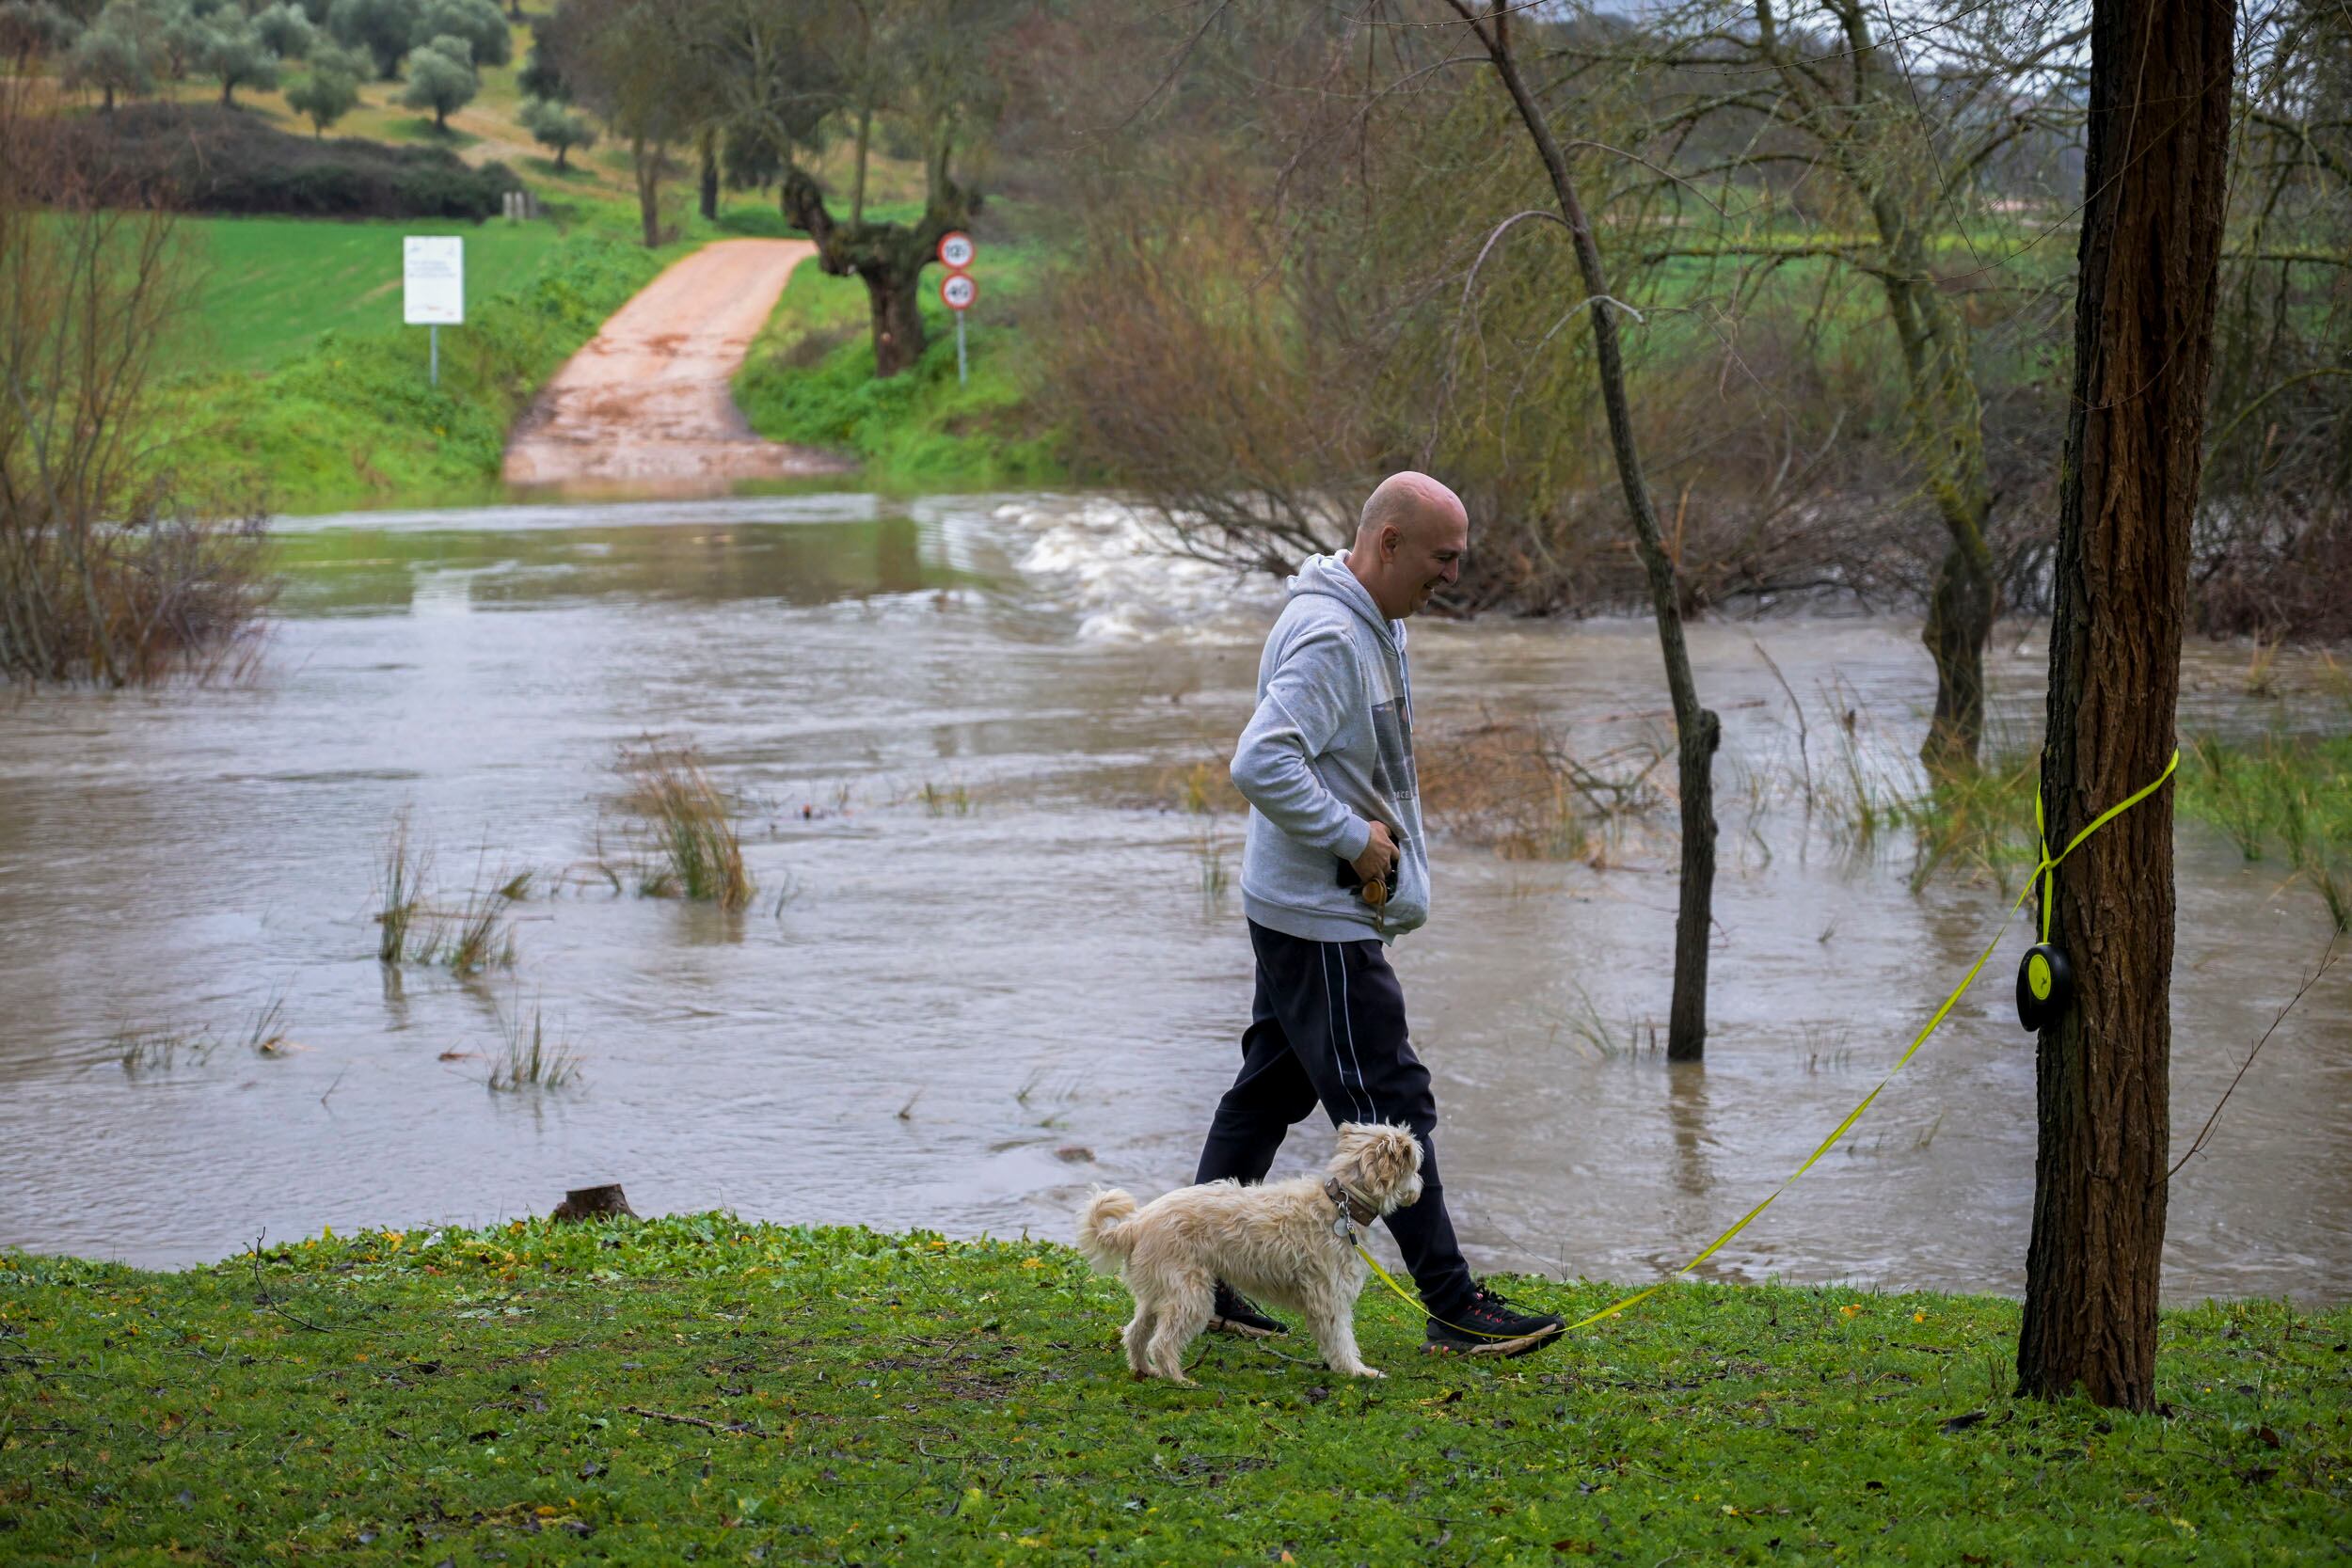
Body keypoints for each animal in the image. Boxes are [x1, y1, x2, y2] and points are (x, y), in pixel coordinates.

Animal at [1077, 1128, 1421, 1382]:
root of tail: (1136, 1223)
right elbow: (1341, 1338)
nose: (1421, 1187)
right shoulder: (1329, 1296)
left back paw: (1144, 1370)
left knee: (1135, 1334)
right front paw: (1357, 1371)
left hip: (1158, 1291)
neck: (1341, 1204)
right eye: (1417, 1166)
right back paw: (1178, 1379)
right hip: (1190, 1294)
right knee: (1161, 1343)